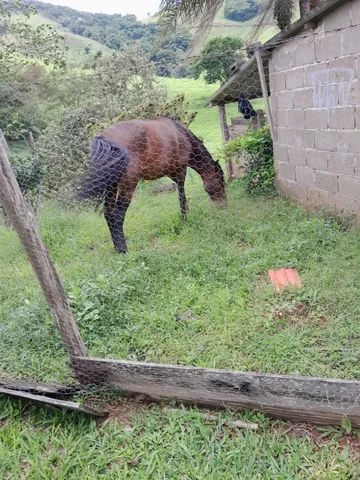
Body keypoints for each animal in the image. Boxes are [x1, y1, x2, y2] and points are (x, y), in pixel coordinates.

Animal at [78, 116, 225, 253]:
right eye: (221, 182)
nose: (223, 206)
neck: (182, 135)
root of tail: (105, 139)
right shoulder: (181, 171)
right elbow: (182, 197)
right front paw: (184, 219)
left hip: (112, 187)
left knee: (108, 214)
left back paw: (117, 249)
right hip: (127, 186)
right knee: (117, 215)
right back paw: (124, 250)